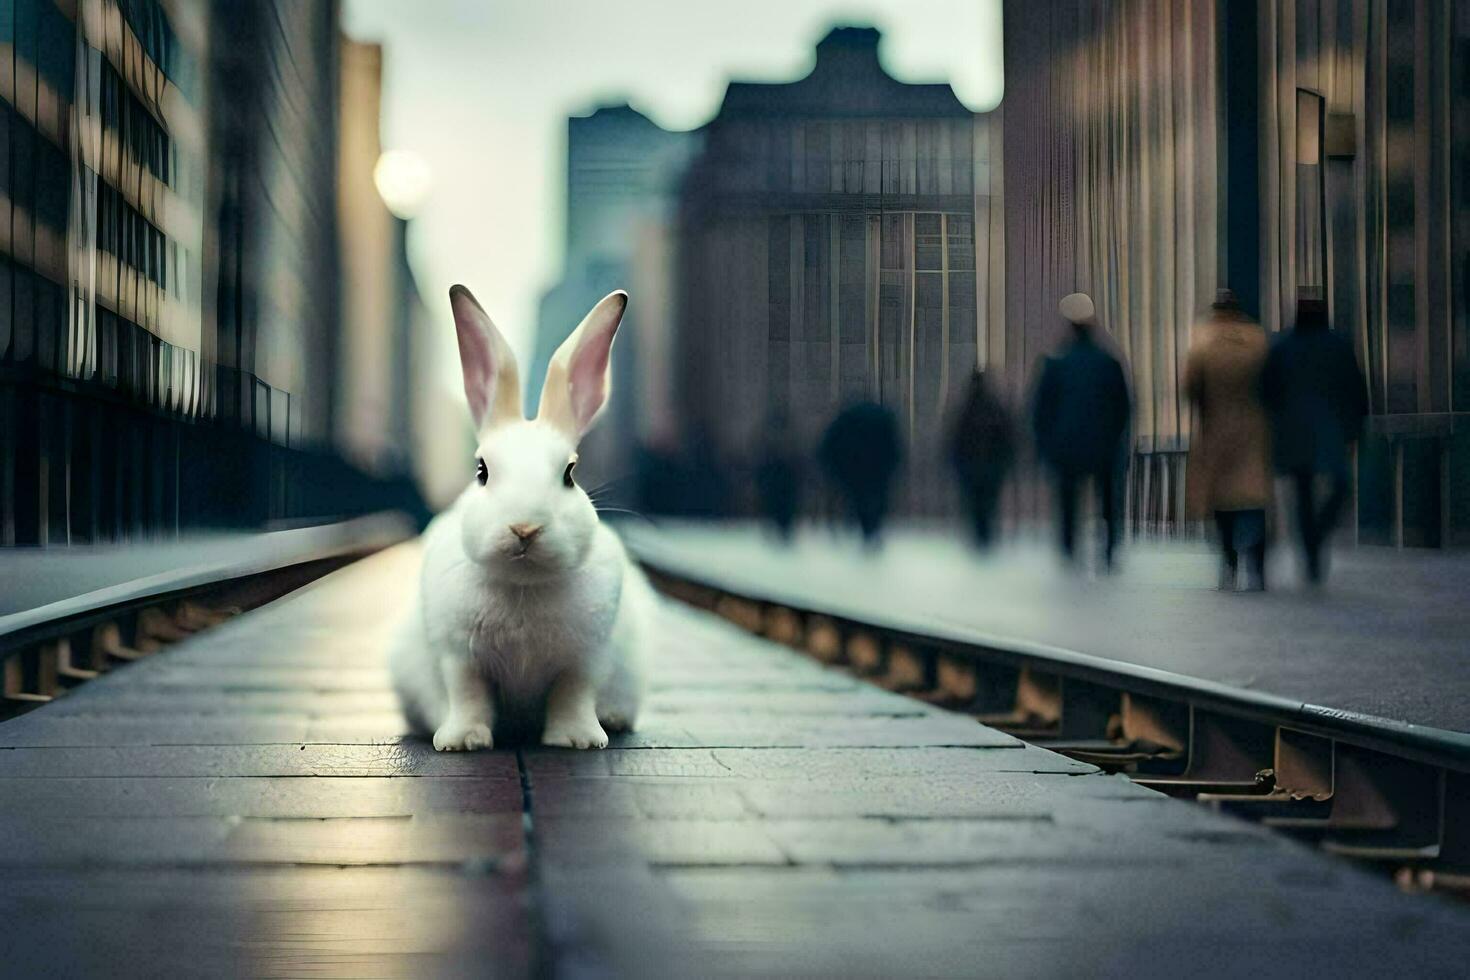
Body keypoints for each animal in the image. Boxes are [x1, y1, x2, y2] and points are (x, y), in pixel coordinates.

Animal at [388, 283, 652, 752]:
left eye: (569, 473)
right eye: (482, 471)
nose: (524, 528)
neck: (524, 585)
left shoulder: (586, 660)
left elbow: (573, 696)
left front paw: (579, 740)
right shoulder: (458, 658)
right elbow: (468, 696)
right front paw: (462, 741)